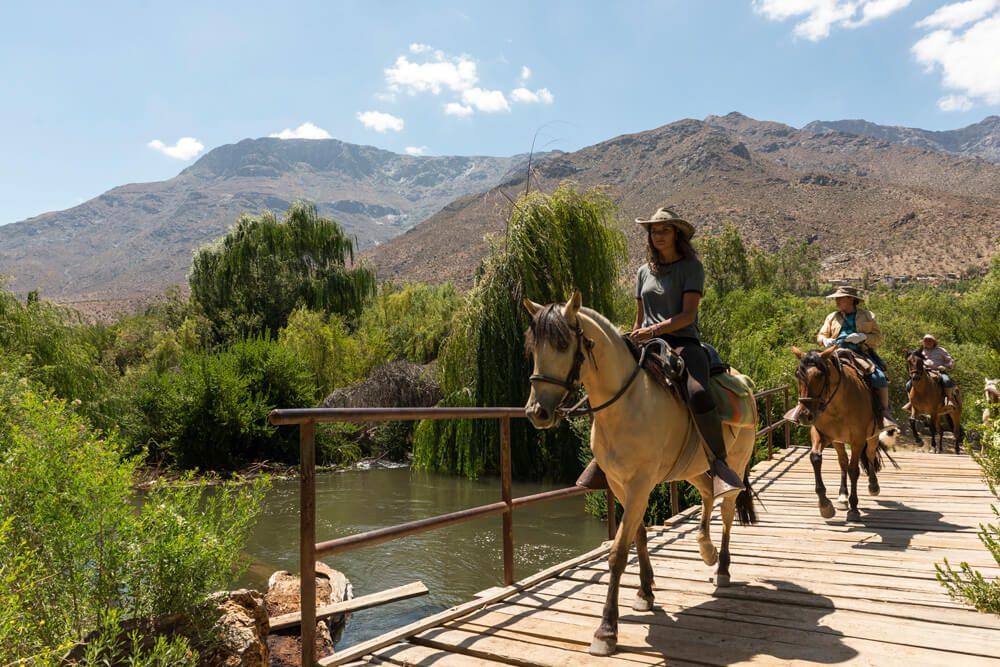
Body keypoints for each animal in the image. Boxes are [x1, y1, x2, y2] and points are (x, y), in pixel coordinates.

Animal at [524, 292, 756, 656]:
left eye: (562, 344)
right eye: (532, 348)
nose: (538, 413)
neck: (626, 404)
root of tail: (744, 381)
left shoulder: (640, 485)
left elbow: (618, 553)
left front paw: (606, 631)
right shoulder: (621, 486)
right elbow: (639, 535)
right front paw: (645, 593)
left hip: (734, 462)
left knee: (728, 509)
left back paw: (721, 568)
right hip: (692, 469)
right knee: (707, 493)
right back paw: (705, 549)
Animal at [792, 348, 896, 524]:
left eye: (820, 375)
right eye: (798, 374)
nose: (805, 415)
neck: (837, 405)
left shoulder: (858, 440)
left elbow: (854, 470)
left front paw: (854, 509)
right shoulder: (820, 434)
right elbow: (815, 458)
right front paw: (825, 505)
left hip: (872, 437)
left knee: (869, 455)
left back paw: (873, 486)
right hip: (837, 441)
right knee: (842, 463)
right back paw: (842, 496)